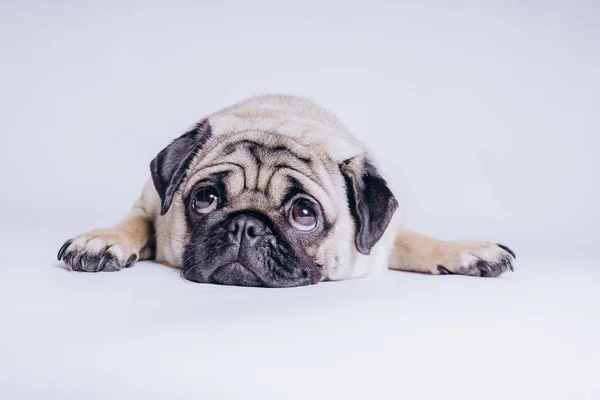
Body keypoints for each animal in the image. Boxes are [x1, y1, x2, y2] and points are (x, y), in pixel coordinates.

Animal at [57, 95, 516, 286]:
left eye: (304, 214)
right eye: (205, 199)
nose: (245, 225)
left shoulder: (387, 237)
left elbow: (420, 241)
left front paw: (466, 251)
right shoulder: (150, 202)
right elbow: (135, 222)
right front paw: (103, 241)